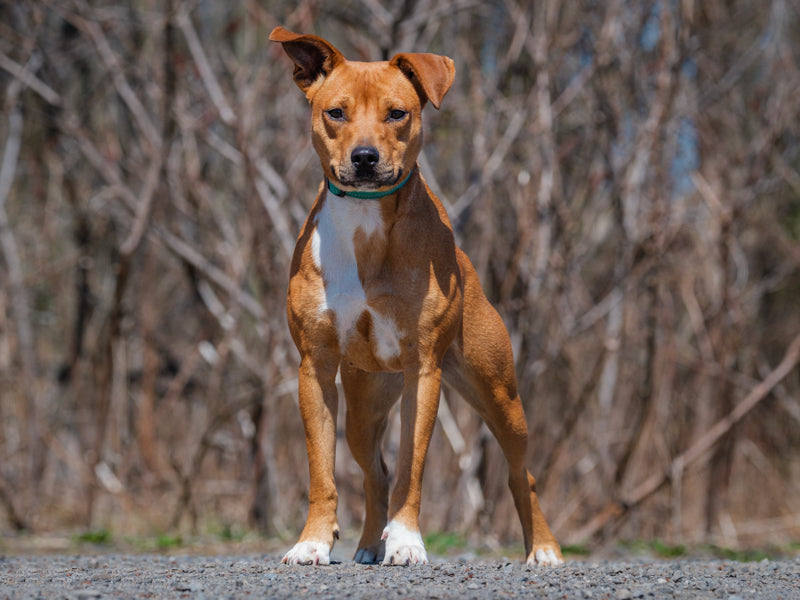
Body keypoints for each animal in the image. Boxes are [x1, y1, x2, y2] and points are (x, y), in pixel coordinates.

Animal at [270, 26, 563, 567]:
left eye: (397, 113)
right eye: (335, 112)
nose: (365, 158)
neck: (366, 223)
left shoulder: (424, 370)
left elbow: (413, 466)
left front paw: (406, 542)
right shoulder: (314, 366)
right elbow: (323, 472)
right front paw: (313, 543)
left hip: (500, 396)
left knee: (522, 473)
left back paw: (544, 550)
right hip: (364, 407)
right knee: (375, 472)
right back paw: (368, 545)